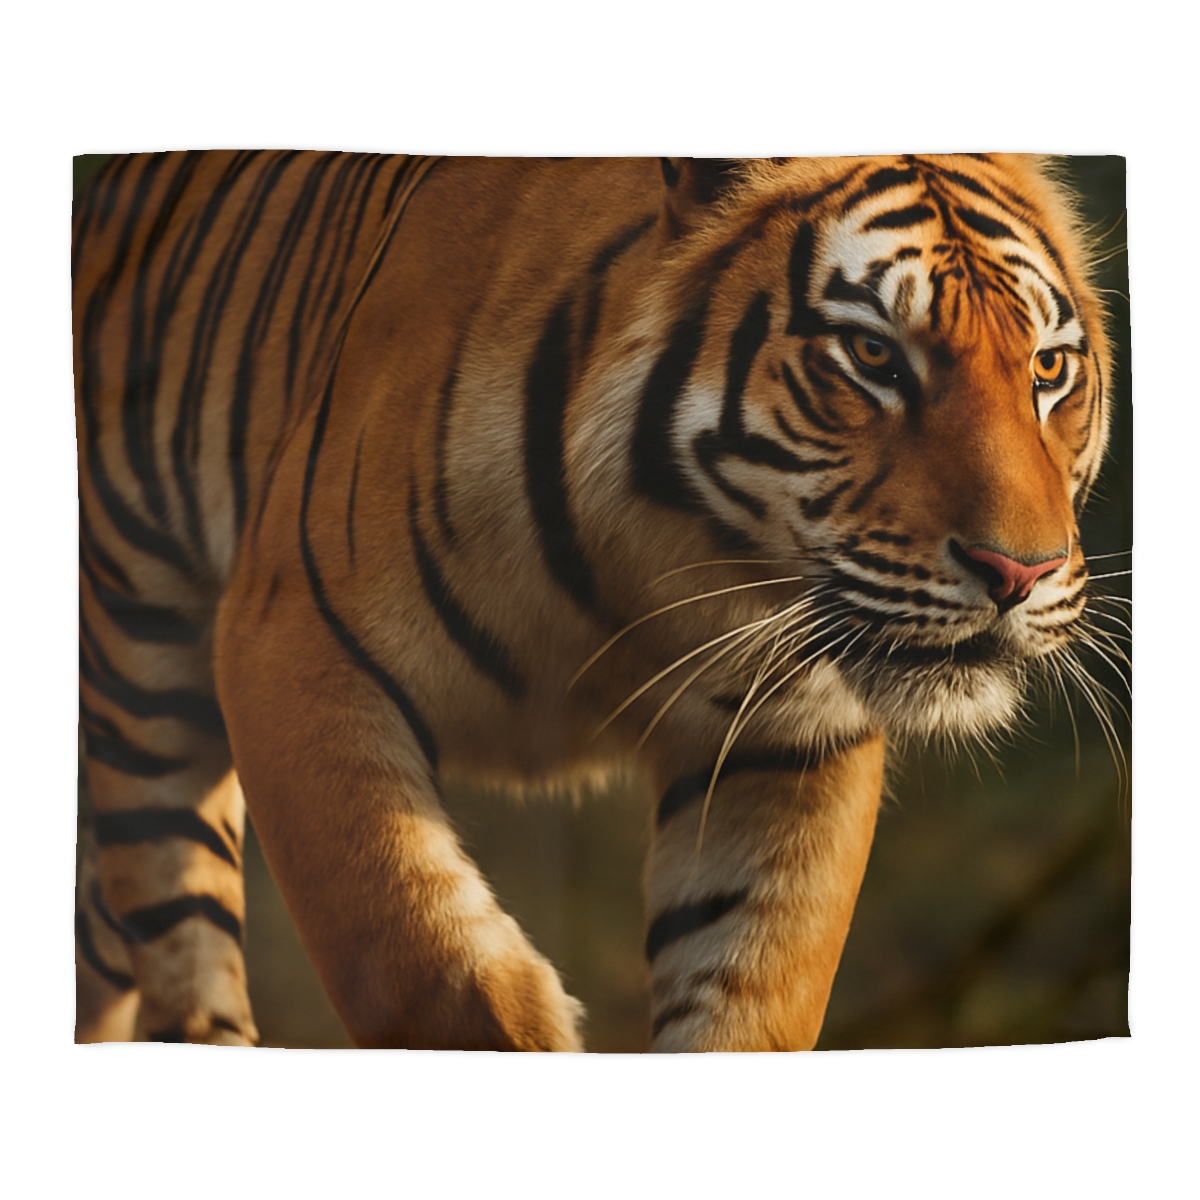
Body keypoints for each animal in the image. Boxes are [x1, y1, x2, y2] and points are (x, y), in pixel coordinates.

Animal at [73, 152, 1112, 1051]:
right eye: (871, 355)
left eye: (1047, 369)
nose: (1019, 572)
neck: (664, 566)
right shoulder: (292, 634)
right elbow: (419, 957)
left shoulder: (791, 740)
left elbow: (750, 997)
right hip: (147, 675)